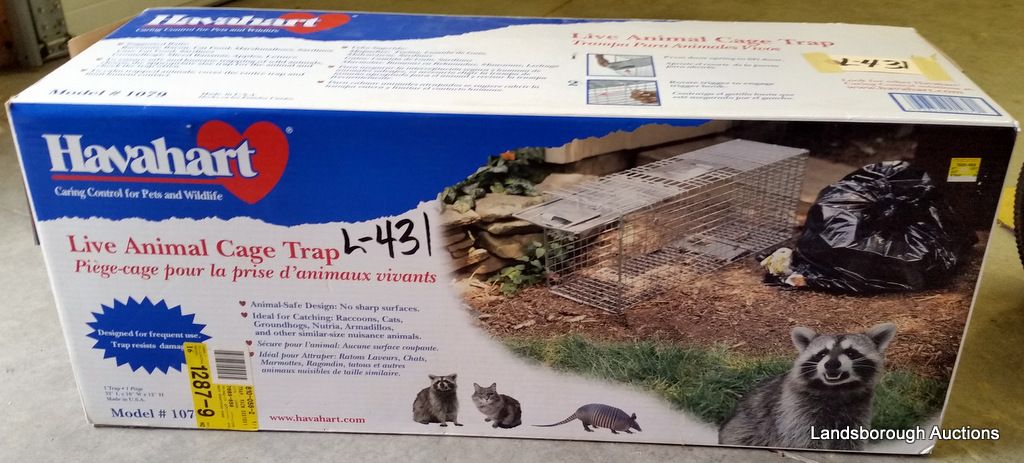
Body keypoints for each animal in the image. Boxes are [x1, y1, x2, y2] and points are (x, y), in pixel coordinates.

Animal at [719, 322, 896, 450]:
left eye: (851, 353)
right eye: (822, 354)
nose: (831, 364)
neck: (835, 389)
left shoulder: (858, 412)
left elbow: (850, 443)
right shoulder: (795, 409)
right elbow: (804, 440)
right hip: (742, 431)